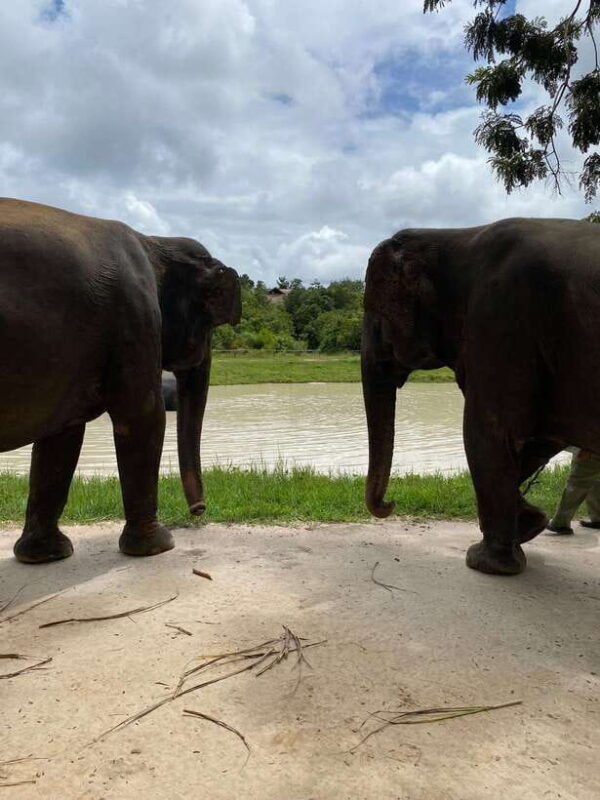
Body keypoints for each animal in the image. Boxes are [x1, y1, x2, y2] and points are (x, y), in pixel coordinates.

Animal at [0, 198, 241, 563]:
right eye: (209, 322)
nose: (199, 510)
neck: (154, 241)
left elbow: (61, 438)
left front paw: (46, 555)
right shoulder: (134, 316)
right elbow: (143, 416)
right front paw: (158, 547)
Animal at [361, 217, 600, 576]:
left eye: (375, 318)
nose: (391, 503)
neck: (454, 236)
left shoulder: (501, 321)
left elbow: (486, 433)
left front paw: (484, 563)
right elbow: (539, 440)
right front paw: (529, 525)